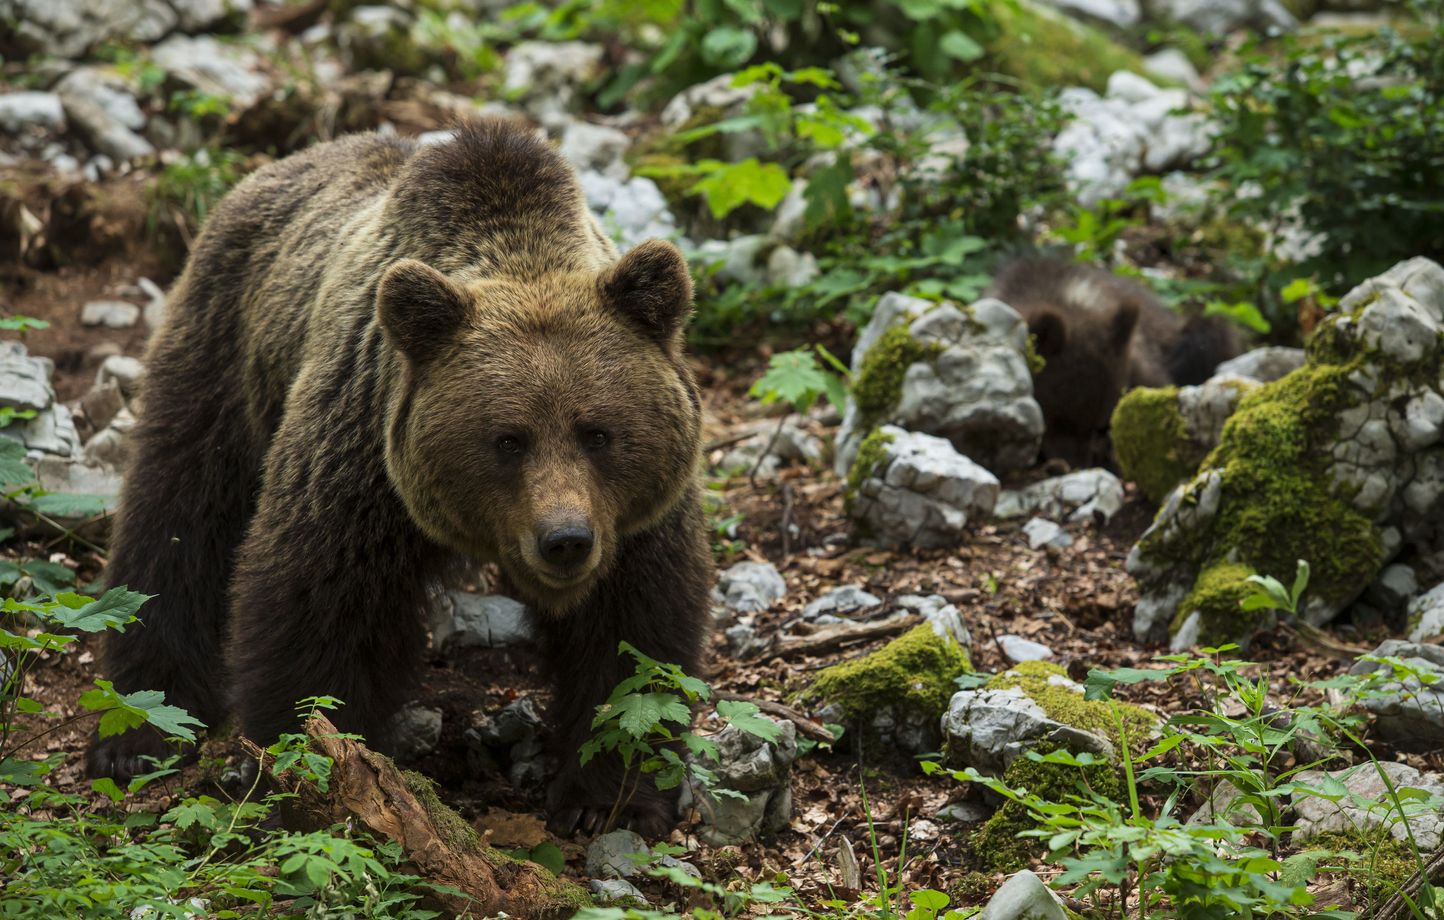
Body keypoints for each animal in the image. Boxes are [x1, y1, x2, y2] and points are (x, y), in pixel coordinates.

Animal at [83, 116, 710, 831]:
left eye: (597, 432)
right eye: (508, 440)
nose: (566, 540)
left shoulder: (637, 518)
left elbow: (634, 644)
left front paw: (607, 799)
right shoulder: (362, 458)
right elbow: (317, 608)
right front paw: (315, 783)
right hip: (227, 349)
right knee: (179, 517)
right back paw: (139, 727)